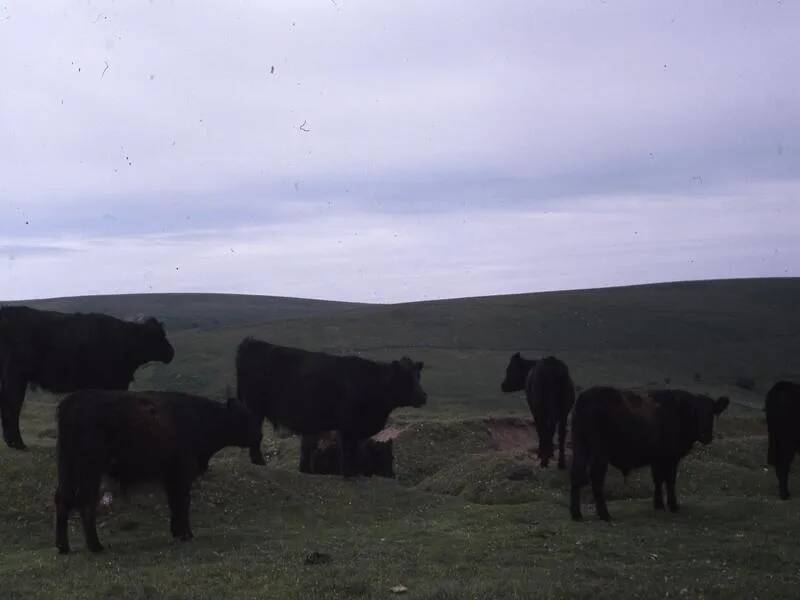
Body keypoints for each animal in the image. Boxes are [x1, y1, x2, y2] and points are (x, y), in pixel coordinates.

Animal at [54, 390, 260, 552]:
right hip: (89, 471)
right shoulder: (182, 474)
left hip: (68, 470)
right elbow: (183, 502)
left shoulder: (171, 477)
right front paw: (186, 534)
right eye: (247, 418)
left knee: (62, 499)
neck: (203, 420)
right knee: (85, 503)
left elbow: (175, 503)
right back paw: (95, 546)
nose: (259, 435)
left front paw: (177, 532)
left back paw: (63, 546)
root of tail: (72, 402)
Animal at [236, 338, 428, 474]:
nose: (423, 396)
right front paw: (350, 473)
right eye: (405, 378)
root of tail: (251, 342)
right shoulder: (348, 425)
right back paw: (259, 462)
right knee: (255, 435)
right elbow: (348, 450)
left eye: (418, 376)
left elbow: (354, 450)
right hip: (254, 409)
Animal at [568, 390, 732, 520]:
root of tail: (586, 397)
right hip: (600, 452)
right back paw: (604, 515)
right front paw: (673, 505)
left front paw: (658, 504)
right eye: (694, 412)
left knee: (576, 474)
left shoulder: (657, 458)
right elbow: (670, 480)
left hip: (580, 446)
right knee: (596, 478)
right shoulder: (671, 457)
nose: (705, 435)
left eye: (712, 412)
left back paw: (576, 514)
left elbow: (658, 479)